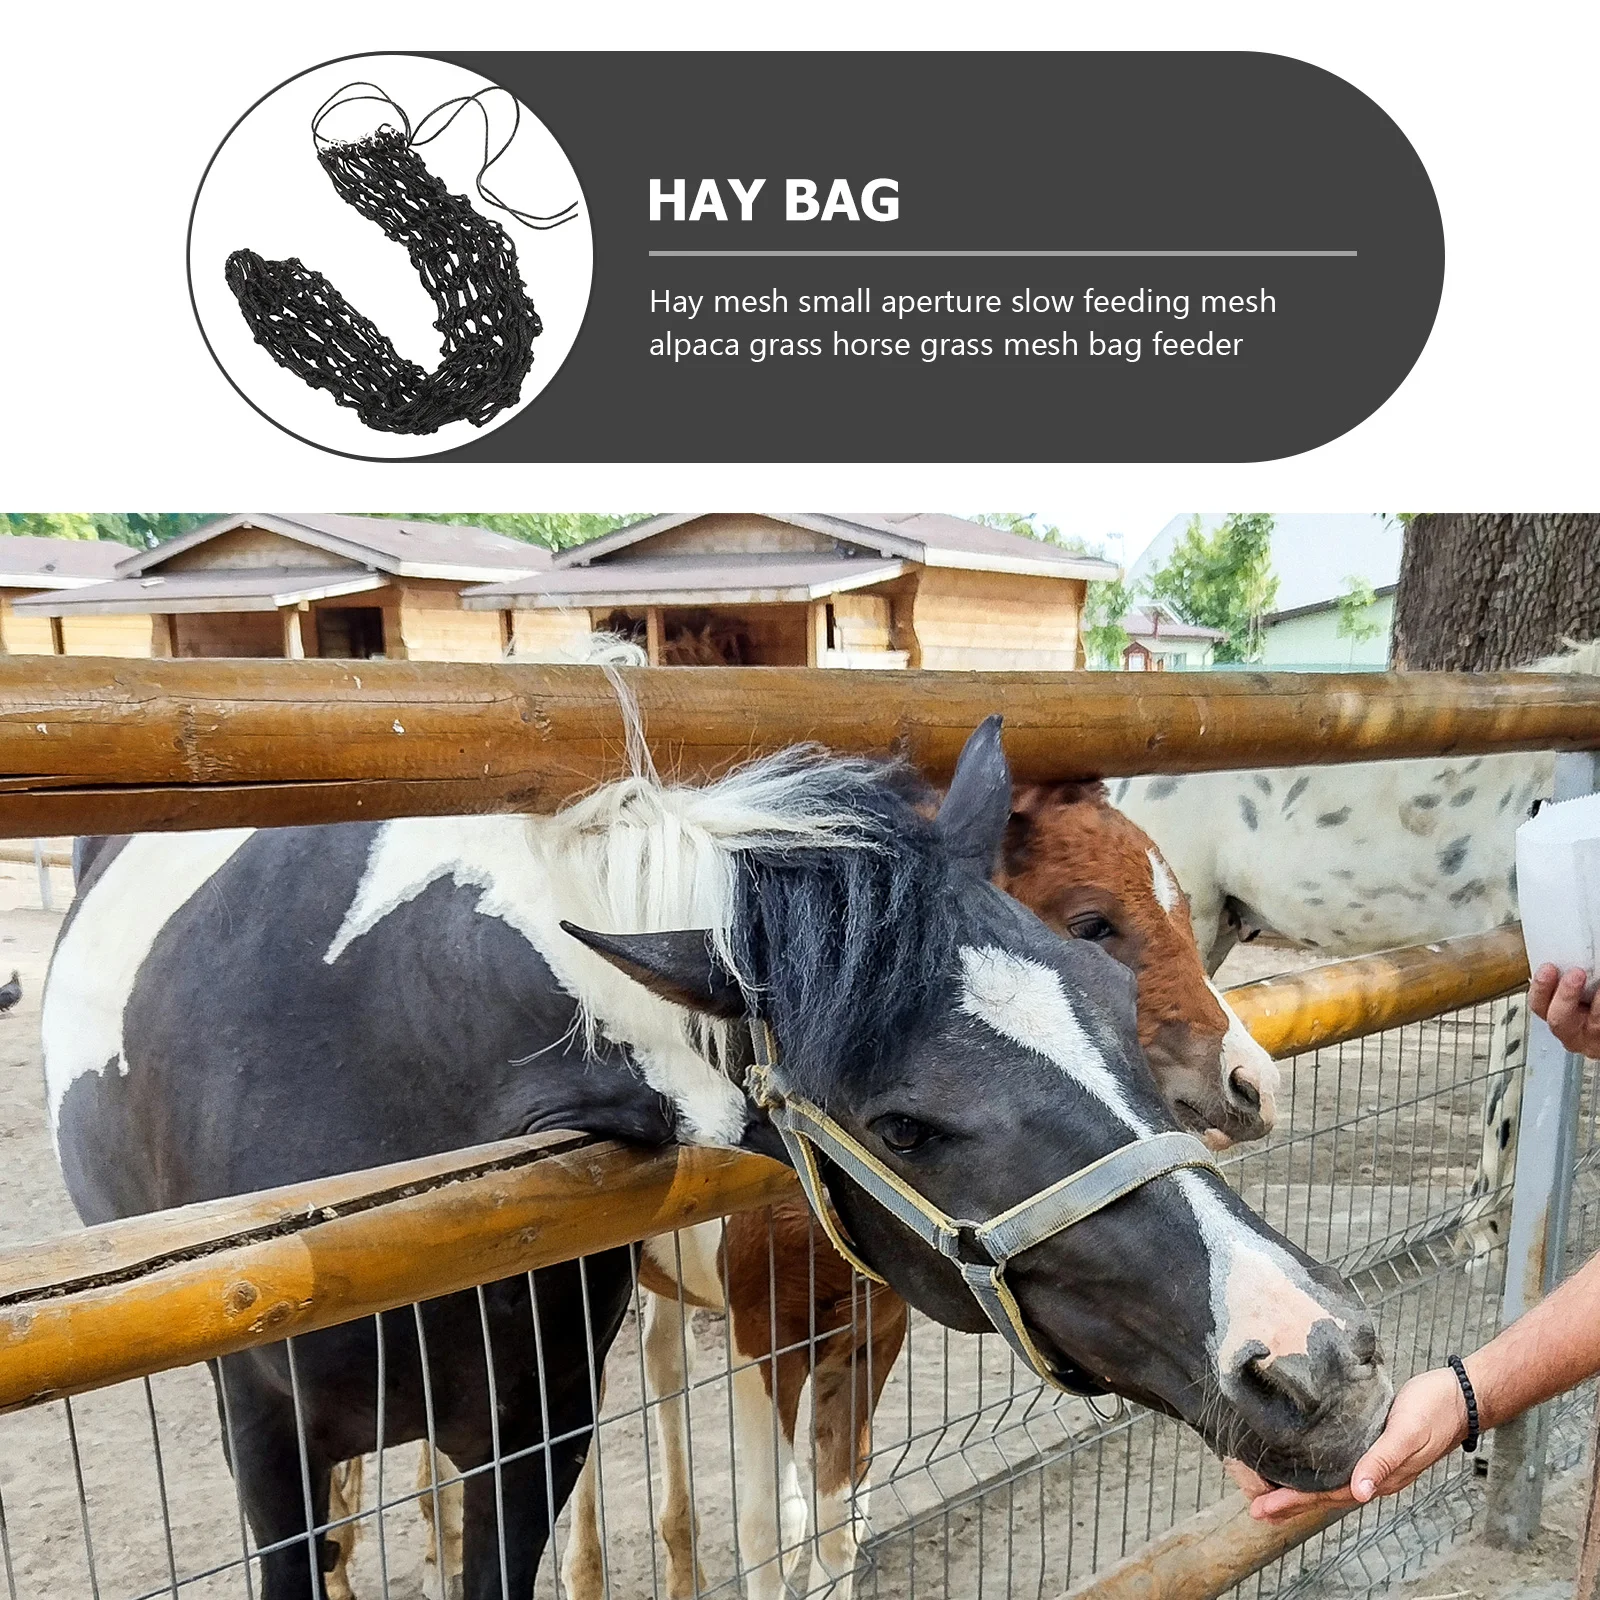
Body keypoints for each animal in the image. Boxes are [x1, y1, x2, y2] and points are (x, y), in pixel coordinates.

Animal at [47, 717, 1391, 1600]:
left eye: (1099, 986)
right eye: (902, 1123)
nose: (1322, 1363)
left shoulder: (610, 1396)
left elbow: (824, 1526)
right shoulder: (275, 1441)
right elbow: (766, 1522)